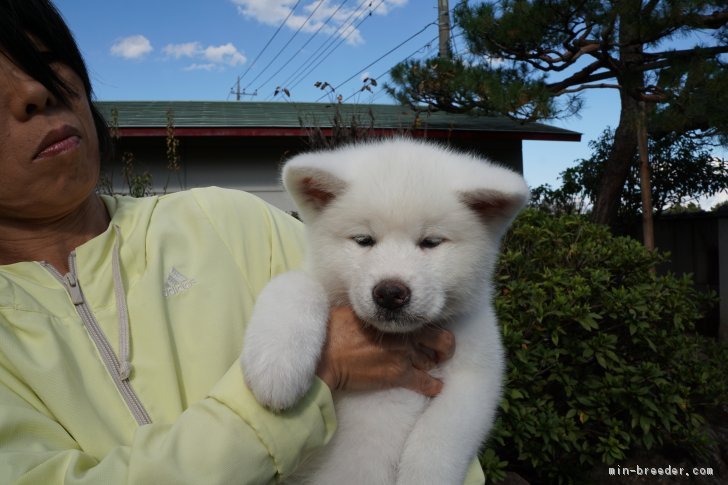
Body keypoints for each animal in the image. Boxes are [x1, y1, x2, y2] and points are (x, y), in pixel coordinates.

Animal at [242, 138, 528, 482]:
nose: (390, 293)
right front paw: (276, 365)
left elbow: (436, 444)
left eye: (431, 242)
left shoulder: (476, 379)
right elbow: (295, 283)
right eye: (363, 240)